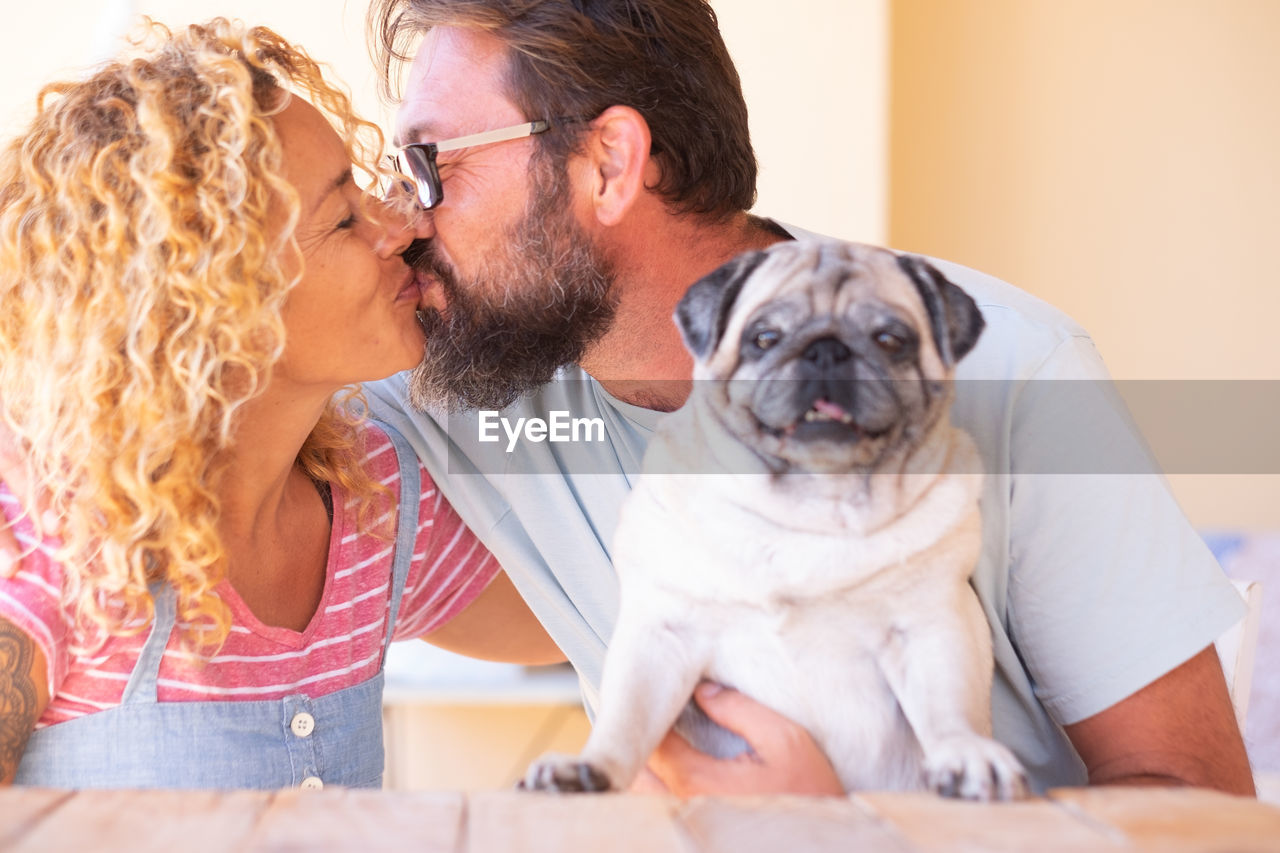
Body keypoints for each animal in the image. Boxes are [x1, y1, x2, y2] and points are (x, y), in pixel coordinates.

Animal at [519, 236, 1029, 799]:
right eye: (763, 338)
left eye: (892, 340)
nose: (827, 349)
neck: (808, 502)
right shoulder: (661, 634)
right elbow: (626, 717)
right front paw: (591, 768)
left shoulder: (930, 623)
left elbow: (948, 708)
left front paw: (965, 755)